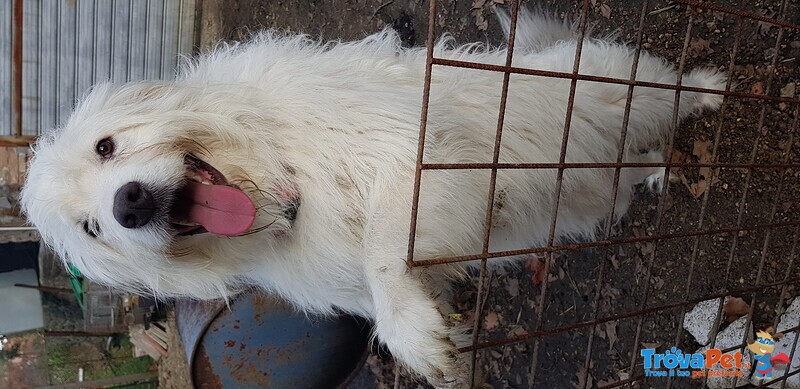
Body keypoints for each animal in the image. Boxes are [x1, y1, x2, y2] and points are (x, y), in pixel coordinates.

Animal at [21, 10, 724, 386]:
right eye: (91, 229)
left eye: (106, 148)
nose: (128, 206)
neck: (284, 186)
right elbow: (397, 271)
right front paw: (436, 341)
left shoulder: (410, 152)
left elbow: (383, 253)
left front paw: (412, 335)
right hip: (586, 195)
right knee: (631, 166)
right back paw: (654, 169)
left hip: (611, 90)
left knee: (668, 87)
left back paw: (712, 88)